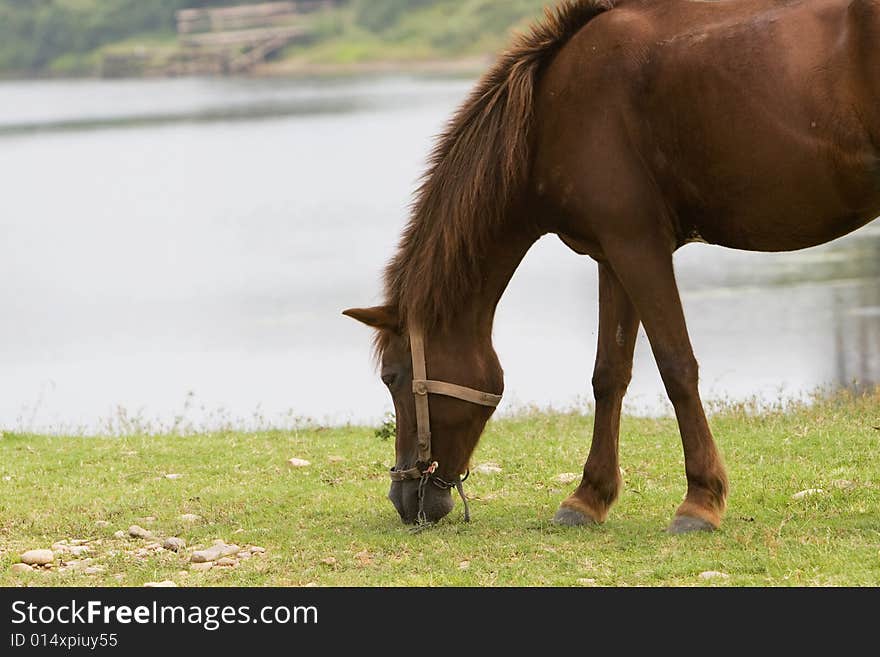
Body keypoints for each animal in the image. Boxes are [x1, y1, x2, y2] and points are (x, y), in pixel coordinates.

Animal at [342, 0, 880, 532]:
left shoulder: (638, 245)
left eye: (392, 377)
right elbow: (609, 374)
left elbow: (676, 366)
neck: (548, 117)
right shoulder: (612, 255)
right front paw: (589, 497)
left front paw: (701, 499)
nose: (403, 497)